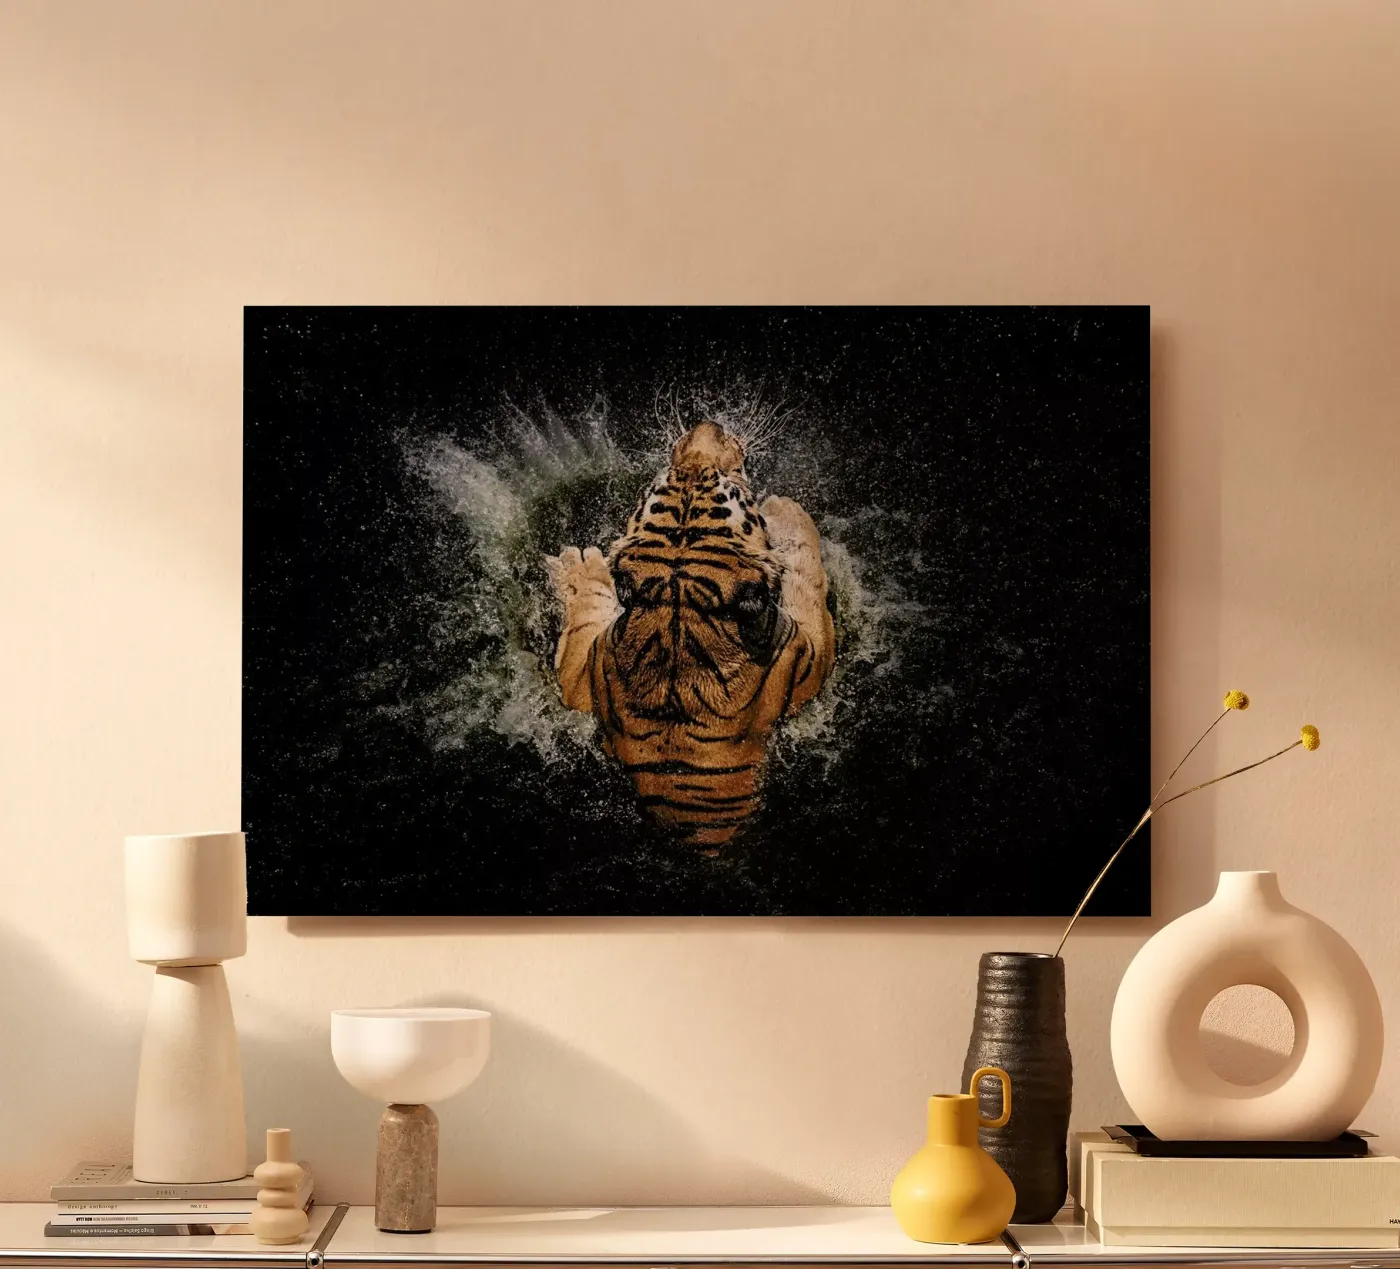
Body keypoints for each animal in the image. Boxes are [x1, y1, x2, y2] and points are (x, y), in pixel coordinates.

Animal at [546, 420, 835, 852]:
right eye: (731, 485)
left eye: (670, 476)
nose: (706, 426)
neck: (679, 601)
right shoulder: (809, 658)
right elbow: (806, 574)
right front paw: (787, 509)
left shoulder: (581, 682)